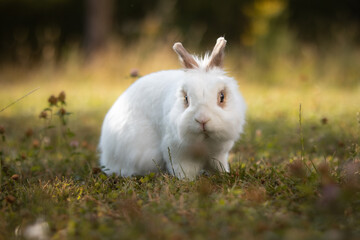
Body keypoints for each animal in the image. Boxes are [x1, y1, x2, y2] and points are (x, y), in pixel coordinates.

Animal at [98, 37, 246, 179]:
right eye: (186, 98)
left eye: (222, 97)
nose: (202, 120)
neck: (204, 140)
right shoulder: (178, 155)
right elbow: (184, 171)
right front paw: (186, 181)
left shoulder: (219, 155)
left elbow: (219, 166)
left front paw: (224, 175)